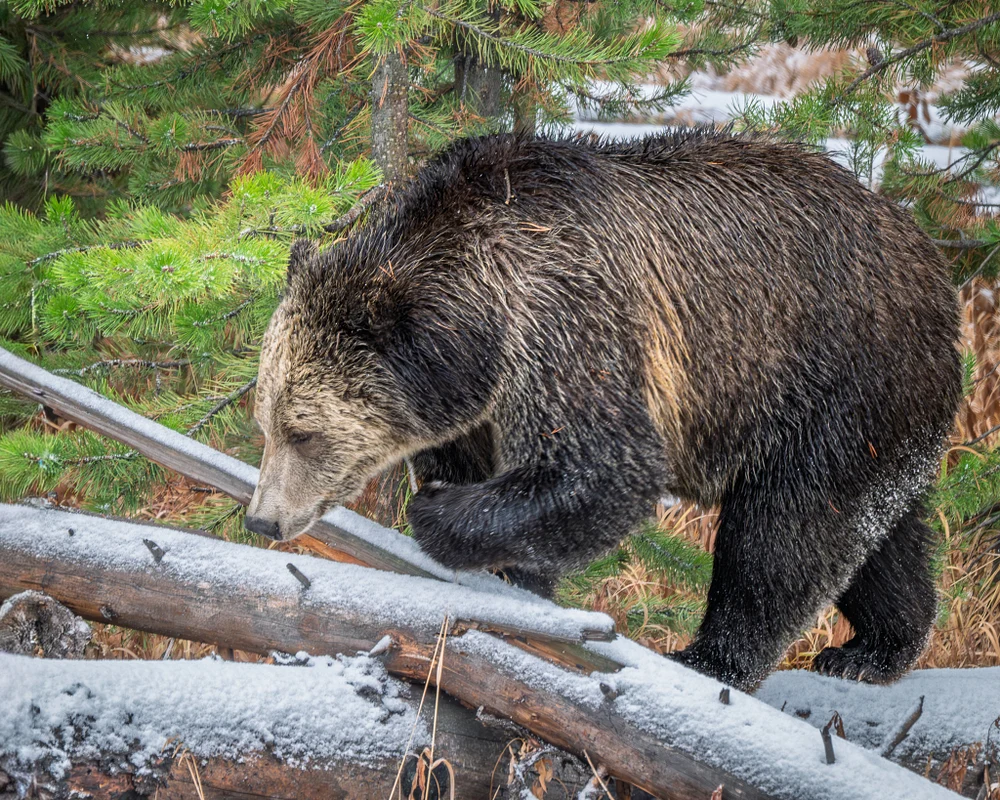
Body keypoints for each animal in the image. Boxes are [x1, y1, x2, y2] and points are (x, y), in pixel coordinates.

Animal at [246, 129, 962, 692]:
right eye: (266, 423)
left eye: (303, 433)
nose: (262, 518)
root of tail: (935, 264)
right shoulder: (479, 399)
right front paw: (509, 569)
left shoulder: (563, 310)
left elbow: (603, 467)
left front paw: (439, 515)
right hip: (880, 417)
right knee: (876, 532)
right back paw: (874, 648)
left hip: (830, 375)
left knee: (786, 529)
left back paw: (716, 659)